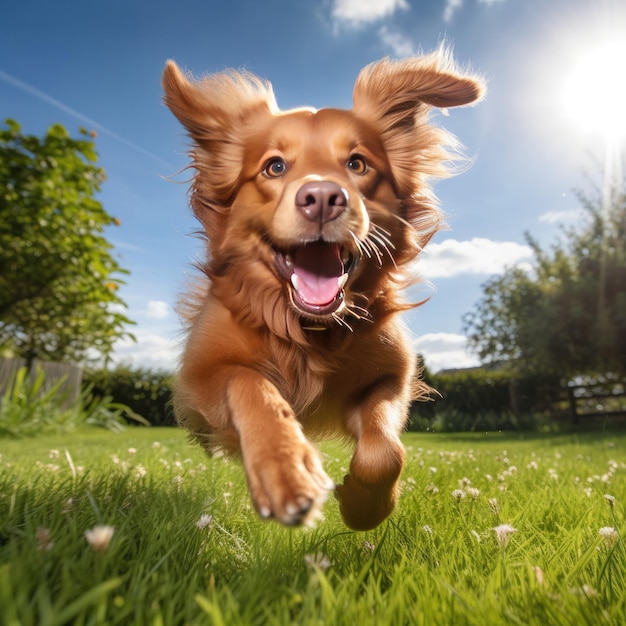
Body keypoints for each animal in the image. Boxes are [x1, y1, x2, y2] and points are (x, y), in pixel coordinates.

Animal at [162, 47, 482, 528]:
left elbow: (385, 449)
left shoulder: (392, 377)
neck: (307, 330)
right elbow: (250, 384)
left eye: (357, 163)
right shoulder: (203, 380)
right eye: (275, 166)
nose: (323, 199)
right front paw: (285, 470)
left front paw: (364, 504)